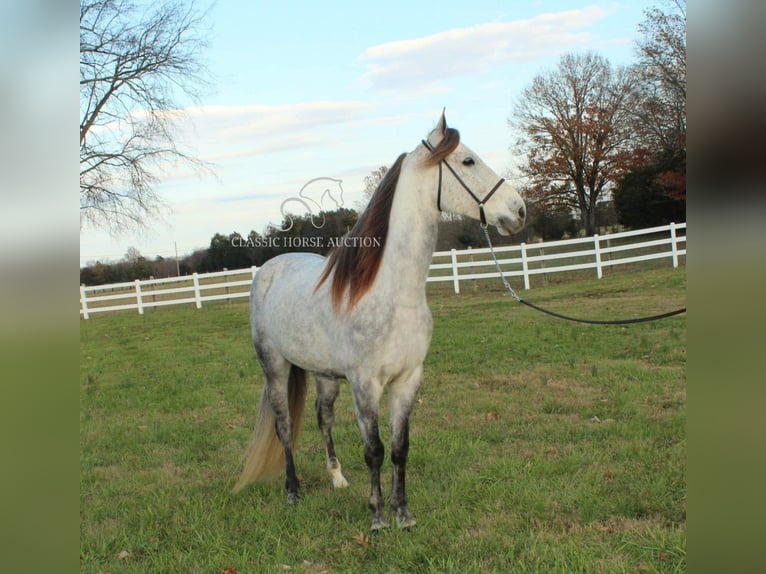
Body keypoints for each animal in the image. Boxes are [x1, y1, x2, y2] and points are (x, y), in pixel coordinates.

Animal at [234, 111, 528, 532]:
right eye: (468, 161)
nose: (519, 210)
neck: (391, 292)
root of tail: (268, 270)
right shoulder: (365, 384)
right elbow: (373, 449)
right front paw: (377, 517)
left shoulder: (407, 380)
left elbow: (400, 448)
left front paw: (402, 513)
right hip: (275, 367)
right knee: (285, 425)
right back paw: (293, 491)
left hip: (325, 376)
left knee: (324, 419)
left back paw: (337, 479)